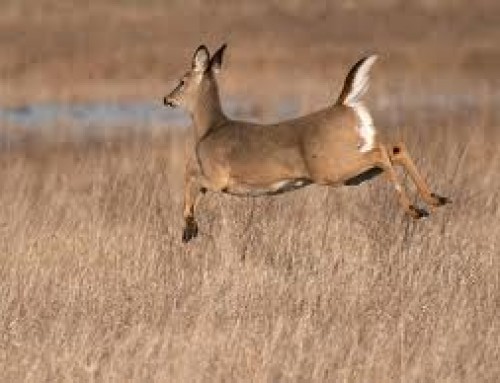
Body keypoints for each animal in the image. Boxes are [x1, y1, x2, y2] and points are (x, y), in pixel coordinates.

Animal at [163, 45, 450, 243]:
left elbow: (188, 175)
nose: (167, 99)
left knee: (381, 152)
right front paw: (190, 228)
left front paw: (188, 228)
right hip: (352, 172)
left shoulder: (218, 177)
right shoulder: (214, 181)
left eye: (182, 80)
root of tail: (343, 104)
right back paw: (435, 200)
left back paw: (415, 210)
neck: (209, 130)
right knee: (395, 148)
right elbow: (192, 183)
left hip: (332, 169)